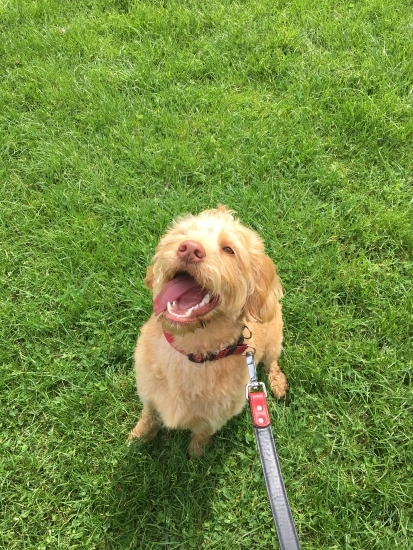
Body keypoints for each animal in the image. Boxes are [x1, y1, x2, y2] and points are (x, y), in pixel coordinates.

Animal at [129, 206, 286, 458]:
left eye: (229, 250)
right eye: (183, 234)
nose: (190, 249)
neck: (192, 352)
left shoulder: (216, 416)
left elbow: (202, 433)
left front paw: (196, 457)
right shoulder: (149, 394)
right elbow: (148, 417)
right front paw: (137, 438)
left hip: (274, 341)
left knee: (272, 363)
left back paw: (278, 383)